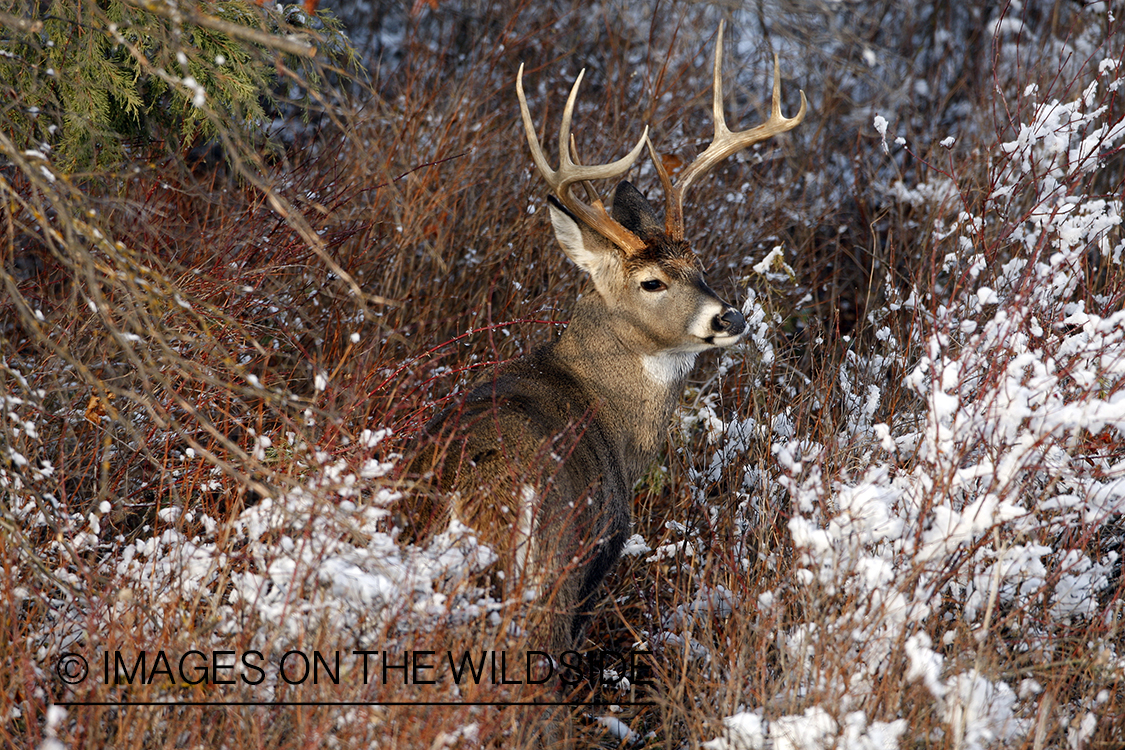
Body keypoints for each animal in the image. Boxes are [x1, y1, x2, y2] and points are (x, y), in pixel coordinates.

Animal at [409, 17, 805, 701]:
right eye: (651, 282)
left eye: (700, 266)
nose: (729, 317)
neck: (609, 416)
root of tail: (468, 497)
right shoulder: (598, 556)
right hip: (546, 573)